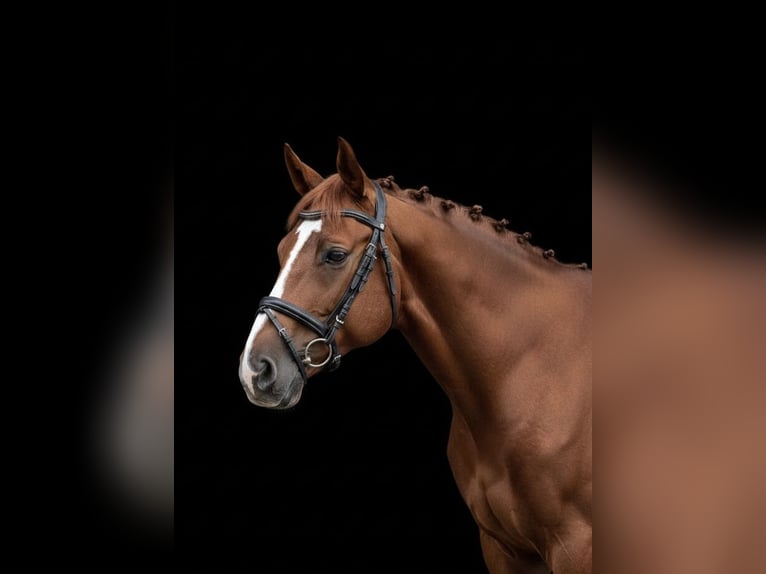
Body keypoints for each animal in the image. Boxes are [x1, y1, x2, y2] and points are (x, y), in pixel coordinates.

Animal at [238, 138, 592, 574]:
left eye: (335, 255)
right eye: (282, 250)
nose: (255, 370)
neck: (534, 371)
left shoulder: (577, 547)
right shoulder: (504, 549)